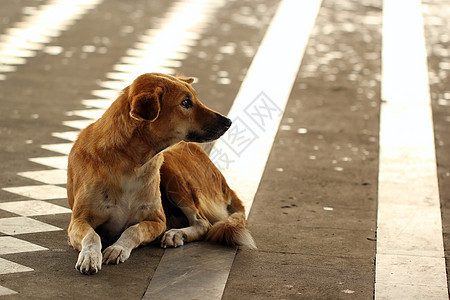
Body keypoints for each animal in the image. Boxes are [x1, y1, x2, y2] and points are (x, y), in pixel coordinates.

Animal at [68, 72, 255, 274]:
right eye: (185, 103)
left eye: (195, 98)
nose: (228, 122)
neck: (131, 162)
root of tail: (225, 184)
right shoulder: (78, 220)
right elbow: (92, 236)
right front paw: (90, 255)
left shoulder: (157, 221)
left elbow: (133, 230)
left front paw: (118, 248)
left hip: (171, 170)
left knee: (203, 223)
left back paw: (177, 234)